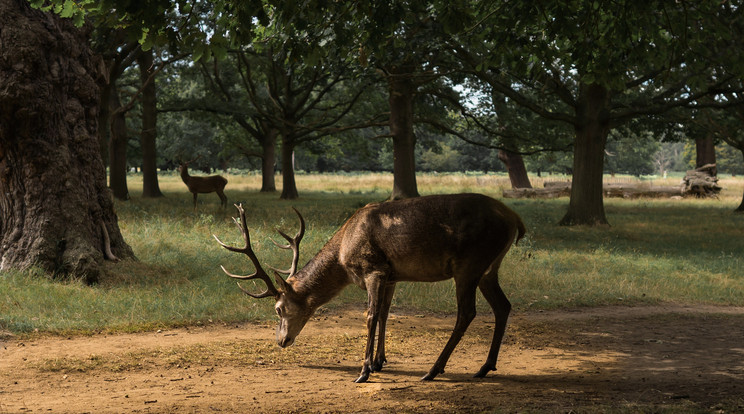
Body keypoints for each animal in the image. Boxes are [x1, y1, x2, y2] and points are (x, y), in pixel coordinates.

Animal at [212, 192, 528, 384]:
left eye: (278, 309)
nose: (281, 341)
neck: (343, 255)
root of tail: (515, 218)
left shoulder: (373, 269)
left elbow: (371, 316)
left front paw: (363, 370)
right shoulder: (391, 276)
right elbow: (386, 313)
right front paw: (379, 361)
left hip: (469, 264)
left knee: (467, 312)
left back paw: (433, 370)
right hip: (489, 268)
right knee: (503, 306)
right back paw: (485, 367)